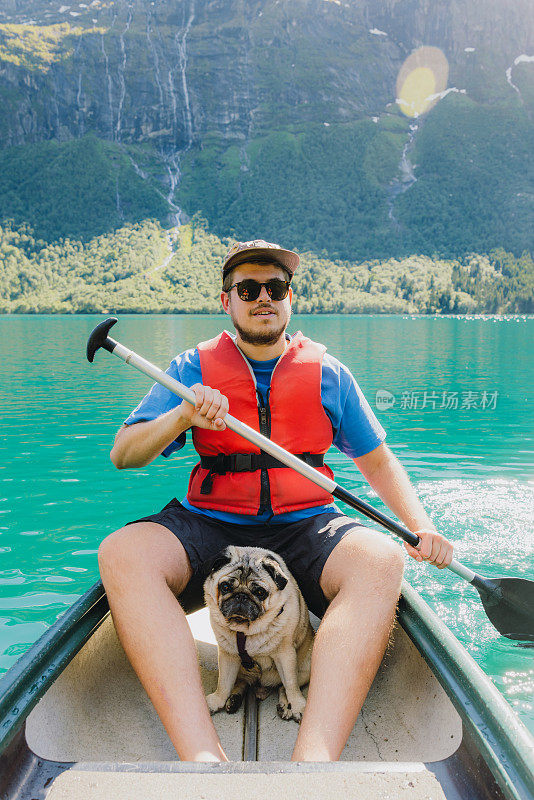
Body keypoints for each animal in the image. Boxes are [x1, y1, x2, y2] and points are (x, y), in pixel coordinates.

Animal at [204, 548, 314, 720]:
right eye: (225, 587)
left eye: (260, 592)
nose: (241, 596)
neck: (244, 631)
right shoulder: (228, 656)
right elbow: (224, 683)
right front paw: (217, 700)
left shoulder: (285, 655)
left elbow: (291, 684)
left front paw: (298, 705)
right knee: (242, 682)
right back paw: (234, 699)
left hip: (306, 668)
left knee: (283, 687)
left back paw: (286, 706)